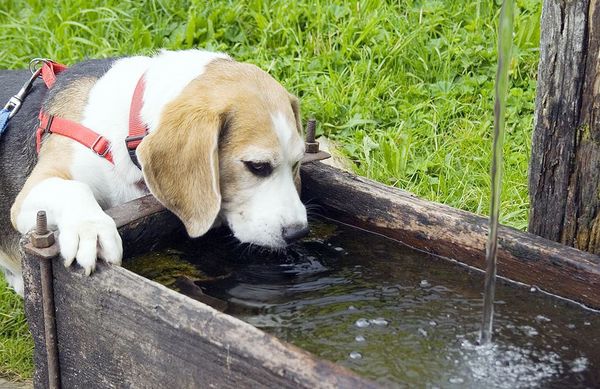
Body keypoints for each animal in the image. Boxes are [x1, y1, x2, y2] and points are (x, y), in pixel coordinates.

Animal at [0, 50, 308, 296]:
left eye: (297, 162)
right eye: (257, 166)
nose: (298, 232)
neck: (124, 130)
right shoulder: (31, 194)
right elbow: (74, 188)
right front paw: (92, 229)